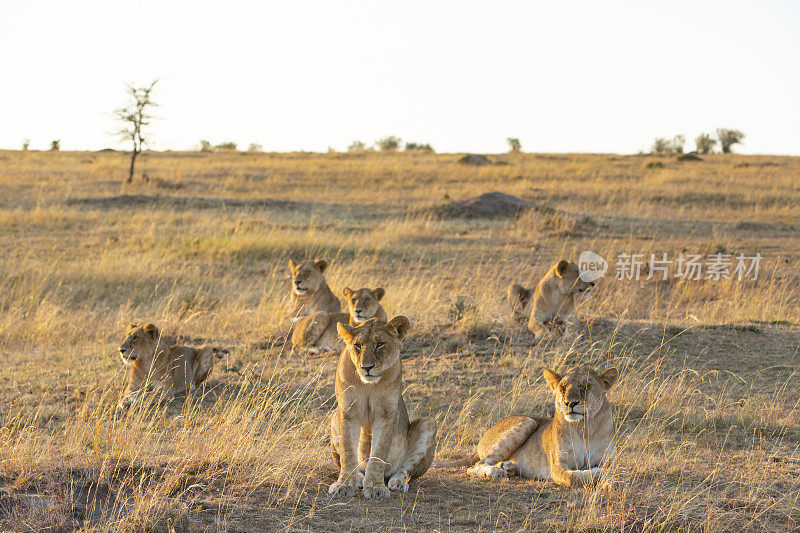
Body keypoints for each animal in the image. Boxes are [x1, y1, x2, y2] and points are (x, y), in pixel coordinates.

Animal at [328, 316, 438, 498]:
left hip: (429, 423)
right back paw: (359, 479)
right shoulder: (347, 411)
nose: (366, 368)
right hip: (334, 416)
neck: (368, 385)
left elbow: (378, 453)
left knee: (405, 470)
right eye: (358, 345)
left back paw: (398, 482)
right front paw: (345, 485)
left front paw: (376, 487)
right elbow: (348, 452)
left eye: (380, 344)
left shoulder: (386, 414)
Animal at [456, 366, 620, 486]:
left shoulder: (610, 459)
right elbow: (573, 478)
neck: (584, 427)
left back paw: (507, 468)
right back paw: (496, 472)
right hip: (528, 421)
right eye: (563, 387)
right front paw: (598, 472)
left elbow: (613, 470)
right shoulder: (557, 466)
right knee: (474, 466)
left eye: (585, 387)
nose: (570, 403)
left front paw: (608, 481)